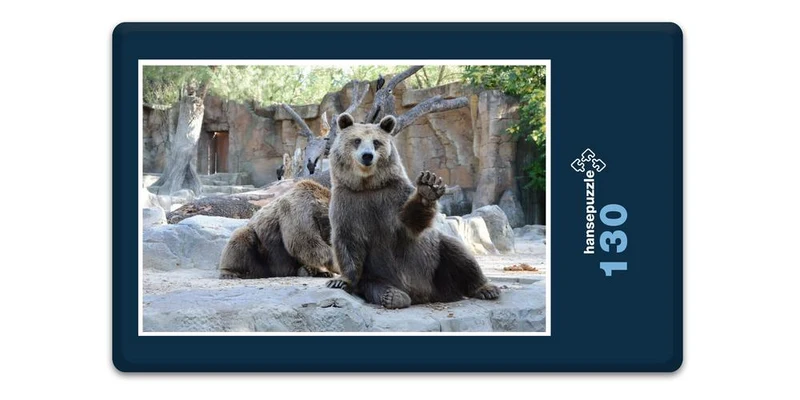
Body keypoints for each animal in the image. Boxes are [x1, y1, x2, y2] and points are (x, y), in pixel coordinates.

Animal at [325, 113, 500, 309]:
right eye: (357, 140)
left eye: (376, 142)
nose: (367, 156)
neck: (367, 185)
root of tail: (424, 294)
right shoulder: (348, 203)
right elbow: (347, 241)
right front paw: (340, 281)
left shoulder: (393, 197)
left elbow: (411, 223)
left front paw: (428, 186)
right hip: (376, 274)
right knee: (374, 285)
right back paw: (393, 296)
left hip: (435, 264)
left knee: (458, 254)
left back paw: (486, 288)